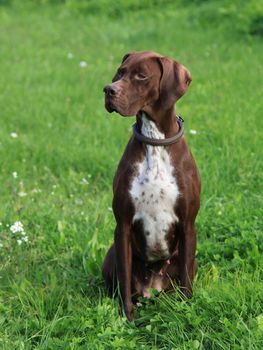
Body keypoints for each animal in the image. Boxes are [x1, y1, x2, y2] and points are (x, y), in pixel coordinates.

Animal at [102, 50, 201, 322]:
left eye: (141, 76)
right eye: (120, 72)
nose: (108, 90)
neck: (155, 141)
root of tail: (152, 288)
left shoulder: (188, 225)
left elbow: (186, 283)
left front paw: (186, 311)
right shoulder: (123, 226)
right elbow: (124, 282)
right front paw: (127, 318)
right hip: (111, 254)